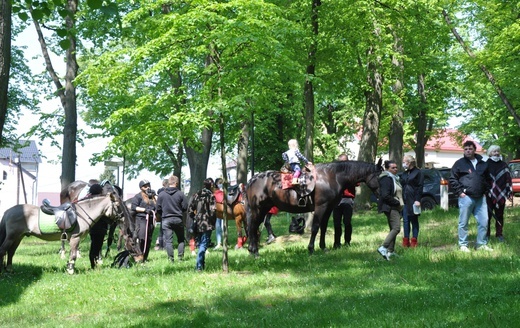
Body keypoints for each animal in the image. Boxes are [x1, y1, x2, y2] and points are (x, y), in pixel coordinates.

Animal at [244, 159, 382, 256]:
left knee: (254, 227)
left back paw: (252, 250)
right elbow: (315, 227)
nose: (381, 194)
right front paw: (311, 249)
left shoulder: (328, 209)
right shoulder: (320, 207)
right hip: (257, 209)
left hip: (263, 210)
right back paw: (255, 252)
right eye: (379, 176)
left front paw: (323, 247)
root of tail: (252, 179)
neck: (331, 177)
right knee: (252, 227)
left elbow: (323, 228)